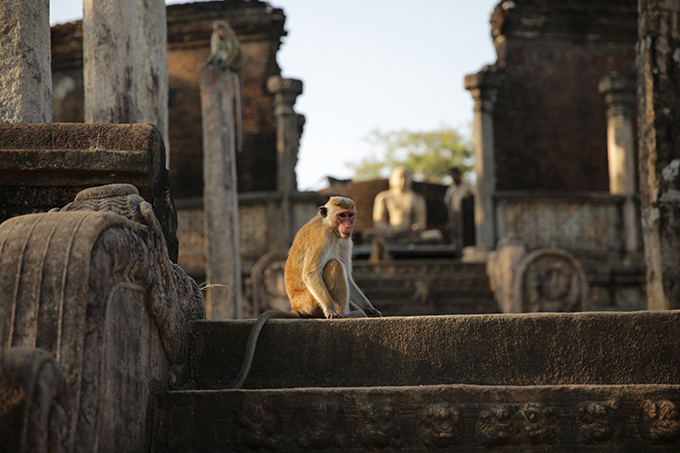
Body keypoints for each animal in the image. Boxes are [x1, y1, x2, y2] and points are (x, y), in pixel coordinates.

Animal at [207, 19, 244, 152]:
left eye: (223, 28)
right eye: (218, 28)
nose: (221, 33)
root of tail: (238, 66)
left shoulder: (230, 35)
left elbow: (233, 49)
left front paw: (225, 62)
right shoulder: (214, 37)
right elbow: (215, 50)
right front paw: (210, 58)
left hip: (236, 60)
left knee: (230, 48)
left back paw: (224, 62)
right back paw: (216, 60)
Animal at [228, 195, 380, 388]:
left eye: (350, 215)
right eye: (342, 215)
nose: (348, 226)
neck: (330, 227)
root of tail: (297, 307)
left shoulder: (346, 240)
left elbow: (349, 279)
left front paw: (370, 308)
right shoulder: (323, 238)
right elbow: (311, 273)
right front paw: (332, 311)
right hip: (314, 302)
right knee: (333, 265)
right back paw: (345, 314)